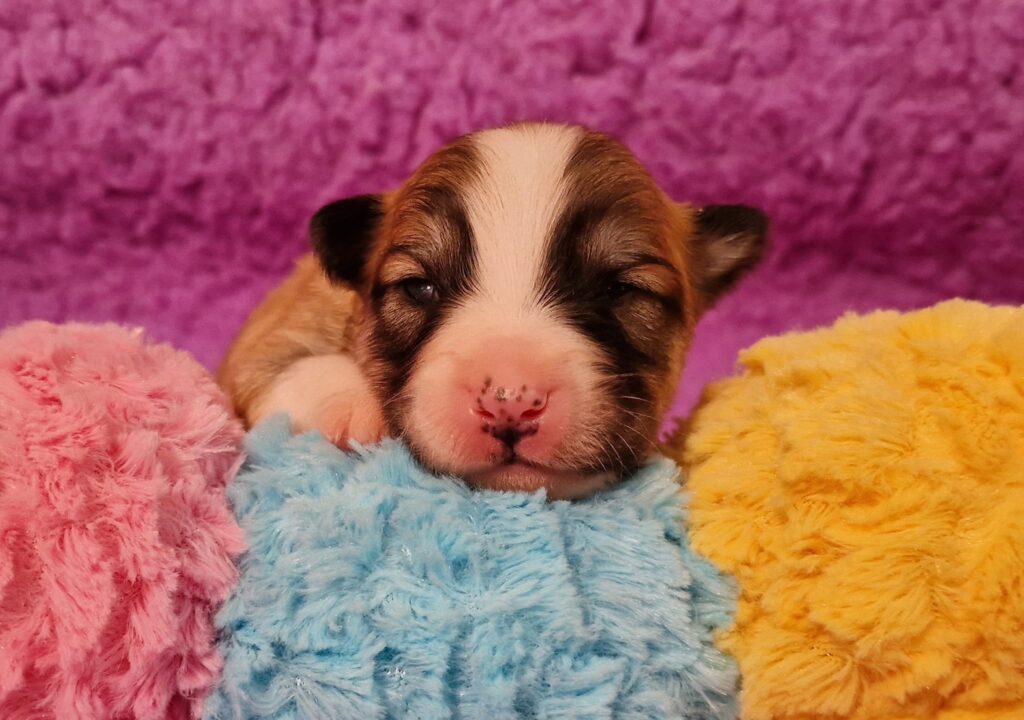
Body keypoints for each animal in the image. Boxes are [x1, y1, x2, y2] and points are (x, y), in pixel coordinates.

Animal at [218, 123, 766, 499]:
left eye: (618, 289)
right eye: (420, 288)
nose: (510, 401)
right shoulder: (278, 324)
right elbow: (281, 365)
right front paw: (351, 407)